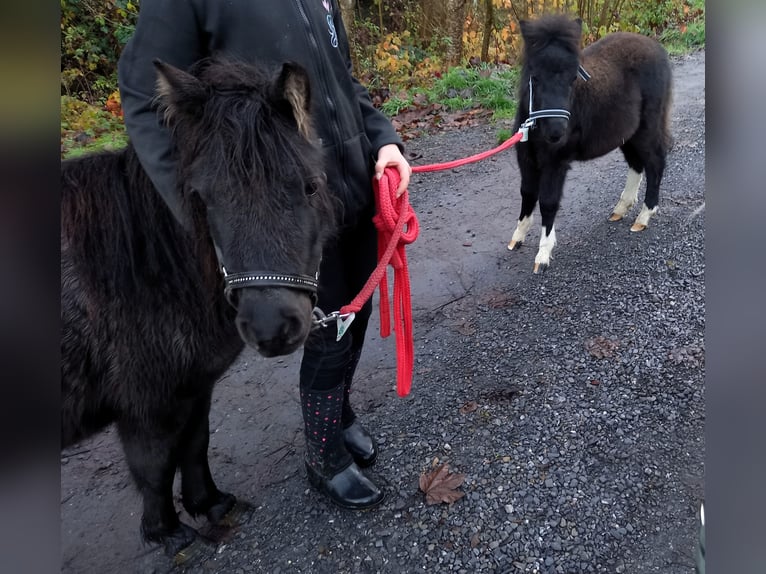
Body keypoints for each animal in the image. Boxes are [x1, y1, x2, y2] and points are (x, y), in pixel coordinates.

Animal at [507, 15, 673, 273]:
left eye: (573, 77)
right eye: (535, 77)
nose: (557, 132)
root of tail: (658, 49)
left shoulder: (556, 163)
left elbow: (548, 202)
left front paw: (543, 255)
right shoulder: (526, 158)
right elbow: (527, 193)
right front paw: (517, 238)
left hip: (647, 127)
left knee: (655, 162)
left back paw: (644, 217)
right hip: (627, 133)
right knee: (637, 163)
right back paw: (621, 209)